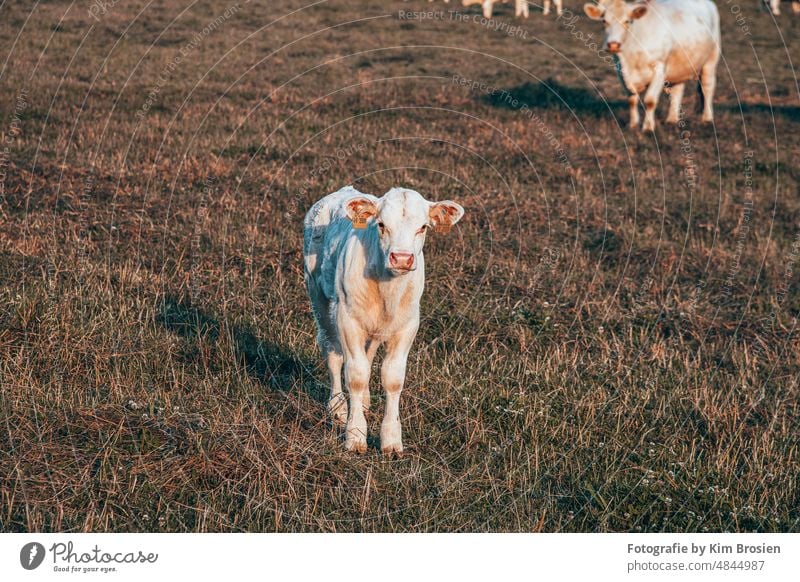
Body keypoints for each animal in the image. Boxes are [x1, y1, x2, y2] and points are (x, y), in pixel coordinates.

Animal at [302, 187, 466, 456]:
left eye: (423, 227)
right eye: (381, 224)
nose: (401, 258)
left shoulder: (407, 325)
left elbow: (392, 378)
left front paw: (391, 440)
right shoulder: (348, 320)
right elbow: (356, 375)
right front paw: (355, 435)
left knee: (367, 356)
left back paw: (364, 403)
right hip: (319, 297)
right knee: (333, 354)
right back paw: (338, 407)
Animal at [584, 0, 720, 132]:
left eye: (627, 21)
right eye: (604, 21)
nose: (613, 44)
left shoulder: (659, 69)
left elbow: (650, 101)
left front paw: (648, 127)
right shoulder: (621, 72)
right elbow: (632, 99)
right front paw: (633, 125)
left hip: (711, 60)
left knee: (707, 87)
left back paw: (707, 118)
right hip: (680, 65)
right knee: (677, 90)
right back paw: (672, 119)